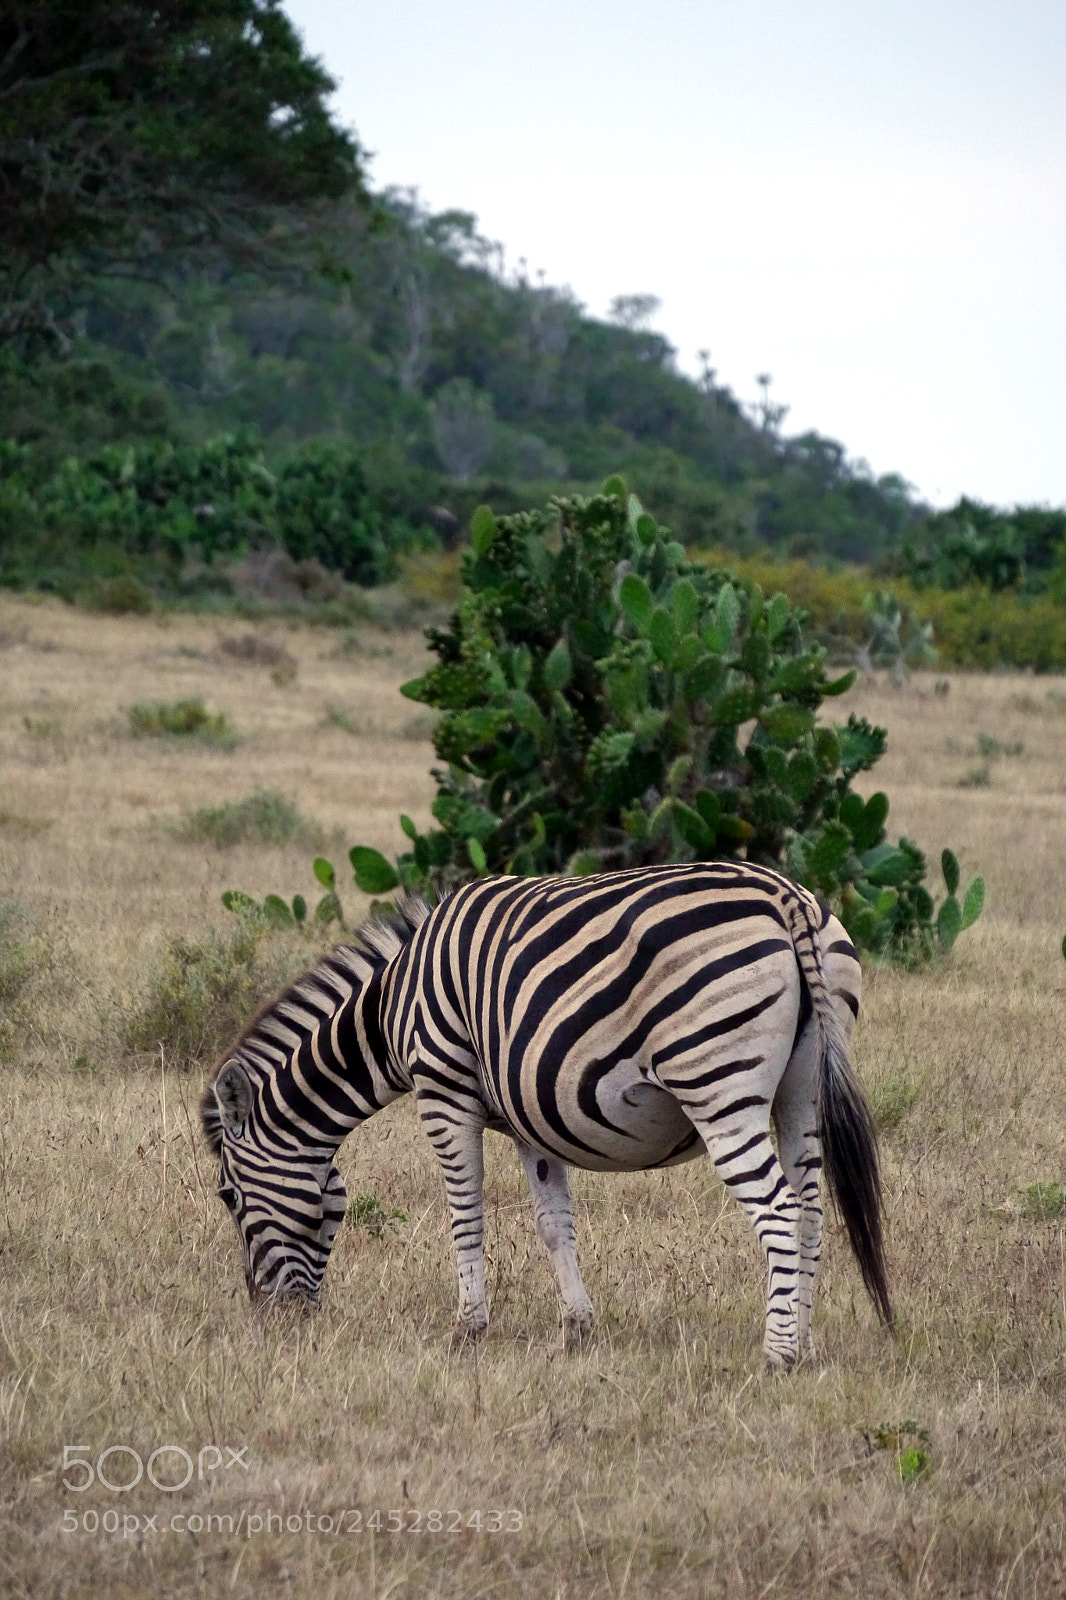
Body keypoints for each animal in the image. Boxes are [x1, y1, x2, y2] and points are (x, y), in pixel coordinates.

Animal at [201, 861, 891, 1367]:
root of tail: (785, 897)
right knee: (811, 1210)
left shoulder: (444, 1092)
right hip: (802, 1090)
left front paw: (469, 1328)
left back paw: (778, 1354)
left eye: (229, 1198)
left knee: (779, 1209)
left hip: (717, 1084)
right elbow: (553, 1223)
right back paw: (804, 1339)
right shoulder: (531, 1117)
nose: (272, 1317)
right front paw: (578, 1327)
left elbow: (465, 1213)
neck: (390, 1006)